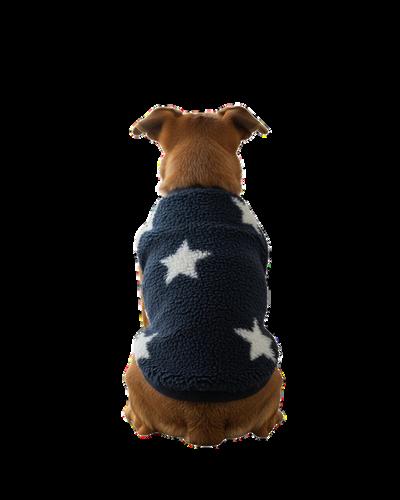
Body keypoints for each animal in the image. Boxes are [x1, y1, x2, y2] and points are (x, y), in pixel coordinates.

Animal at [123, 104, 285, 448]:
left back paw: (131, 414)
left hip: (134, 362)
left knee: (143, 422)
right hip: (276, 374)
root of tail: (204, 421)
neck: (201, 182)